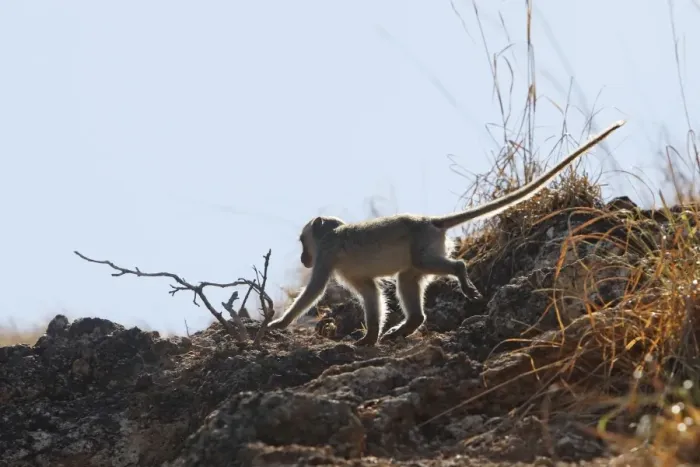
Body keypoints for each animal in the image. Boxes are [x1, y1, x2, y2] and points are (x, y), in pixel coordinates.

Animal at [267, 120, 625, 346]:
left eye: (303, 243)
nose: (303, 257)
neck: (333, 234)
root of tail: (431, 221)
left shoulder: (327, 254)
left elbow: (314, 292)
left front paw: (280, 324)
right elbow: (371, 293)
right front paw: (370, 337)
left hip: (424, 245)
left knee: (434, 265)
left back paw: (461, 275)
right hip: (424, 250)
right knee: (408, 279)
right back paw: (408, 326)